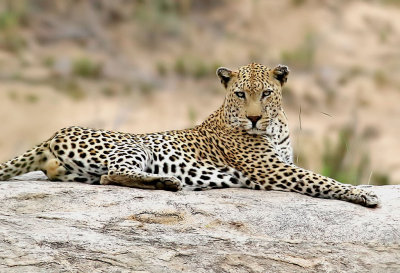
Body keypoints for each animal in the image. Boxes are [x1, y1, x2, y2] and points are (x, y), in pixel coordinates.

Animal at [0, 62, 380, 206]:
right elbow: (320, 178)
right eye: (240, 94)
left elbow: (317, 175)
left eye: (266, 94)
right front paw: (361, 193)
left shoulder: (281, 161)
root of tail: (54, 132)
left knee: (101, 177)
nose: (254, 118)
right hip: (135, 145)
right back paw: (167, 182)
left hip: (80, 170)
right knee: (115, 173)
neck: (275, 126)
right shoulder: (272, 168)